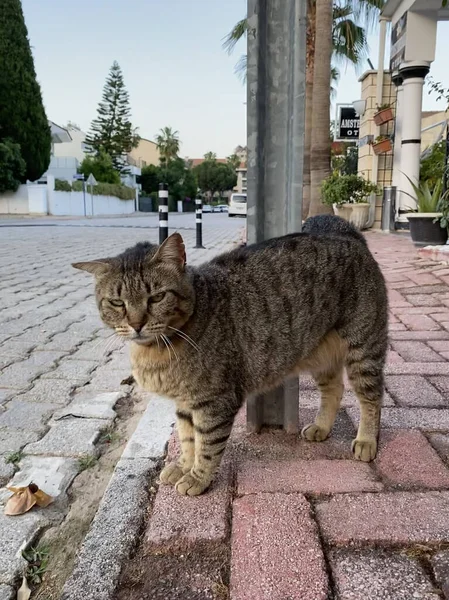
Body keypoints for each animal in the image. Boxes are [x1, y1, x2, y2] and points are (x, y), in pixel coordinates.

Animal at [73, 216, 388, 496]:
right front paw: (184, 465)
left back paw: (366, 440)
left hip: (364, 349)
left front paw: (197, 478)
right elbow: (187, 437)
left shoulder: (215, 401)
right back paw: (322, 426)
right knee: (334, 389)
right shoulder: (185, 402)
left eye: (157, 298)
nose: (136, 324)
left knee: (371, 397)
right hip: (319, 353)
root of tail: (348, 233)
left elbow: (207, 444)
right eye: (117, 303)